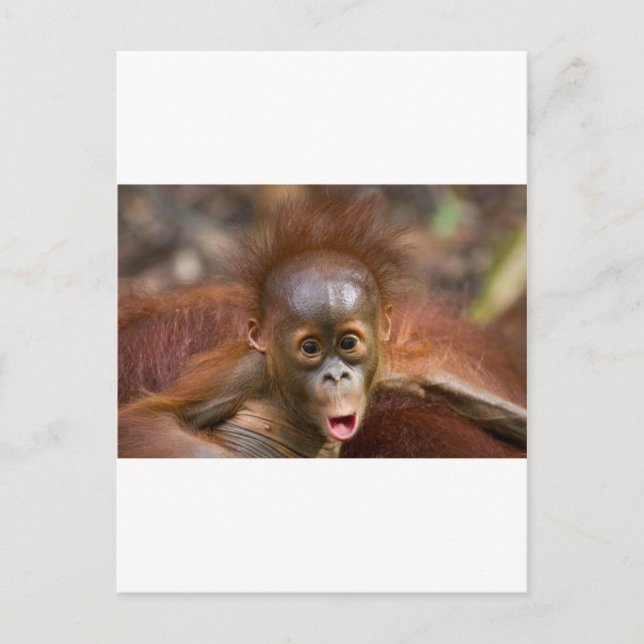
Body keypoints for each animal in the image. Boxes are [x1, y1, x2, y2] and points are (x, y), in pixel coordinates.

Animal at [118, 197, 526, 458]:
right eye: (310, 348)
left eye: (349, 343)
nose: (336, 376)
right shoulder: (242, 373)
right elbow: (147, 419)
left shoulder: (386, 367)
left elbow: (445, 386)